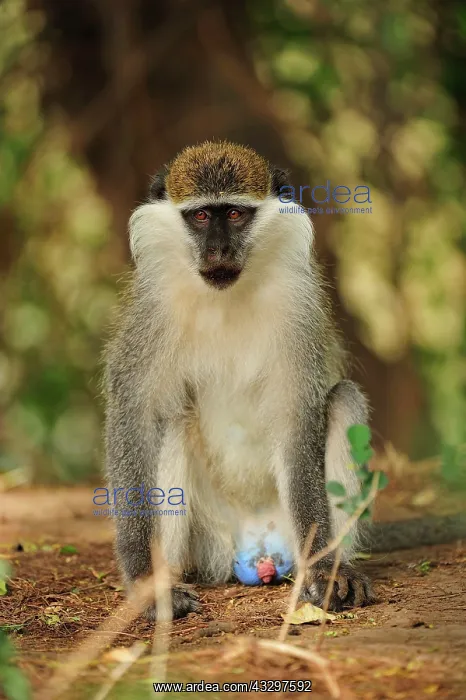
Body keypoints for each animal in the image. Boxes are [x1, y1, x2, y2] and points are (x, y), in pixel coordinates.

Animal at [103, 141, 462, 622]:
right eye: (201, 216)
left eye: (236, 214)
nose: (218, 250)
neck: (226, 296)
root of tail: (256, 544)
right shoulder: (154, 310)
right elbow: (136, 410)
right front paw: (143, 578)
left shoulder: (299, 308)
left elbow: (298, 415)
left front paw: (326, 570)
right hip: (209, 537)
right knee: (171, 423)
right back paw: (170, 577)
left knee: (344, 398)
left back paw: (326, 563)